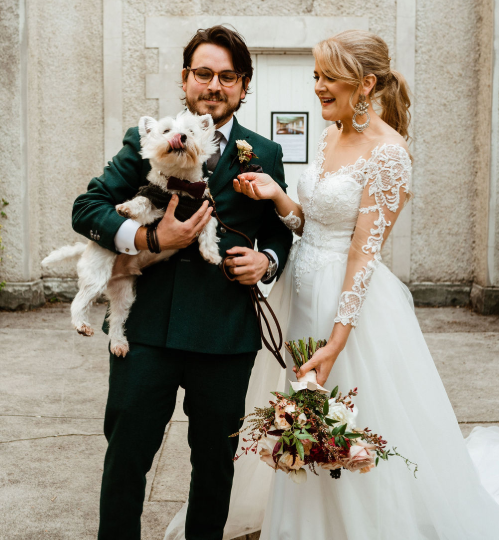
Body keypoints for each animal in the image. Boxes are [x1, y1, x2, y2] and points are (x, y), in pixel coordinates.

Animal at [42, 109, 222, 356]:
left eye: (191, 131)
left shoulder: (206, 209)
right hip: (96, 275)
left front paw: (212, 254)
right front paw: (126, 208)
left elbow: (209, 232)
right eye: (166, 130)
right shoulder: (152, 203)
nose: (181, 137)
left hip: (124, 291)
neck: (180, 185)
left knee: (117, 317)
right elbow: (141, 203)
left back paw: (119, 344)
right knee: (79, 301)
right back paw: (82, 324)